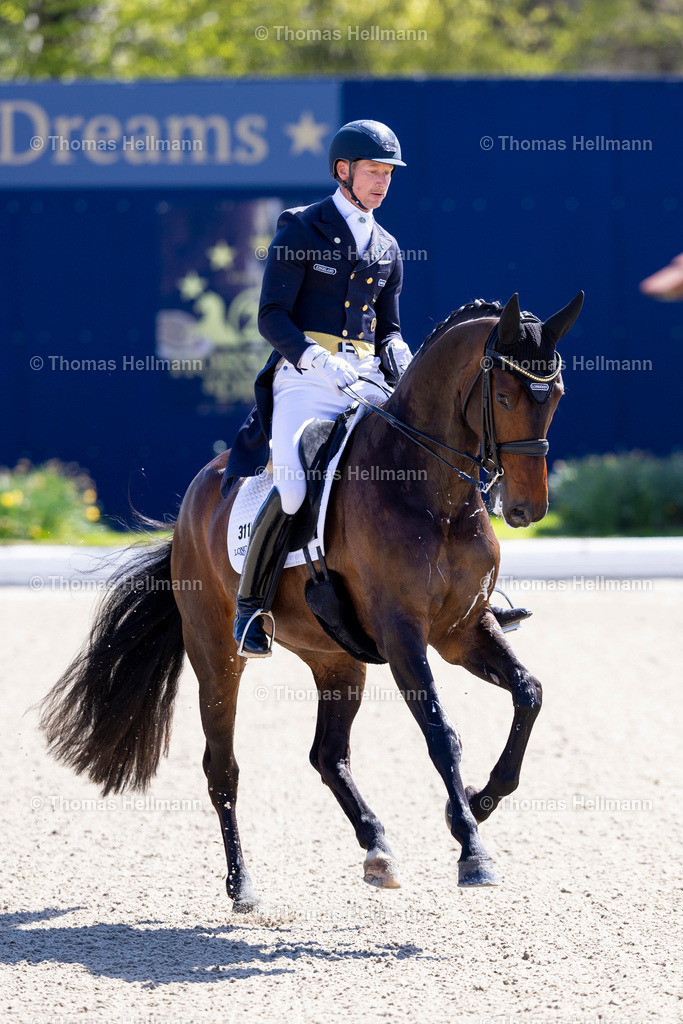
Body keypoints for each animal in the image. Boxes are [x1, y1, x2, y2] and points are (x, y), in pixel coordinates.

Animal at [39, 290, 583, 912]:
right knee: (222, 768)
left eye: (556, 396)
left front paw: (474, 803)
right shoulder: (403, 635)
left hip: (337, 658)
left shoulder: (461, 632)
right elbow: (441, 734)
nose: (526, 509)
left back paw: (378, 850)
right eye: (505, 396)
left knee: (327, 755)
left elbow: (529, 694)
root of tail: (192, 502)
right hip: (216, 656)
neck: (433, 493)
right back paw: (243, 886)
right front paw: (473, 851)